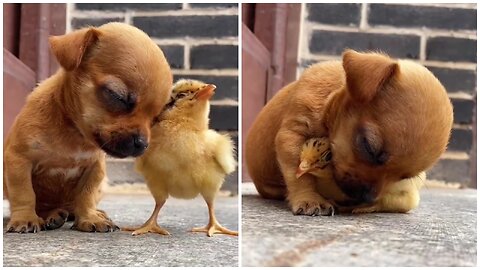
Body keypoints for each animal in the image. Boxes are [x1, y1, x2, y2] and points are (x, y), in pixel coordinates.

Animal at [3, 22, 172, 232]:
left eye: (156, 117)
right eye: (118, 97)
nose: (142, 143)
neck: (73, 133)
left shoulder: (95, 169)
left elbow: (85, 195)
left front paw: (90, 218)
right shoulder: (19, 160)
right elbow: (24, 192)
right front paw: (25, 218)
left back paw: (93, 213)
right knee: (43, 205)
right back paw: (52, 215)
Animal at [248, 49, 454, 216]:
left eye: (404, 177)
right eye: (368, 147)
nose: (367, 198)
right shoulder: (292, 135)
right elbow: (299, 174)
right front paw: (309, 199)